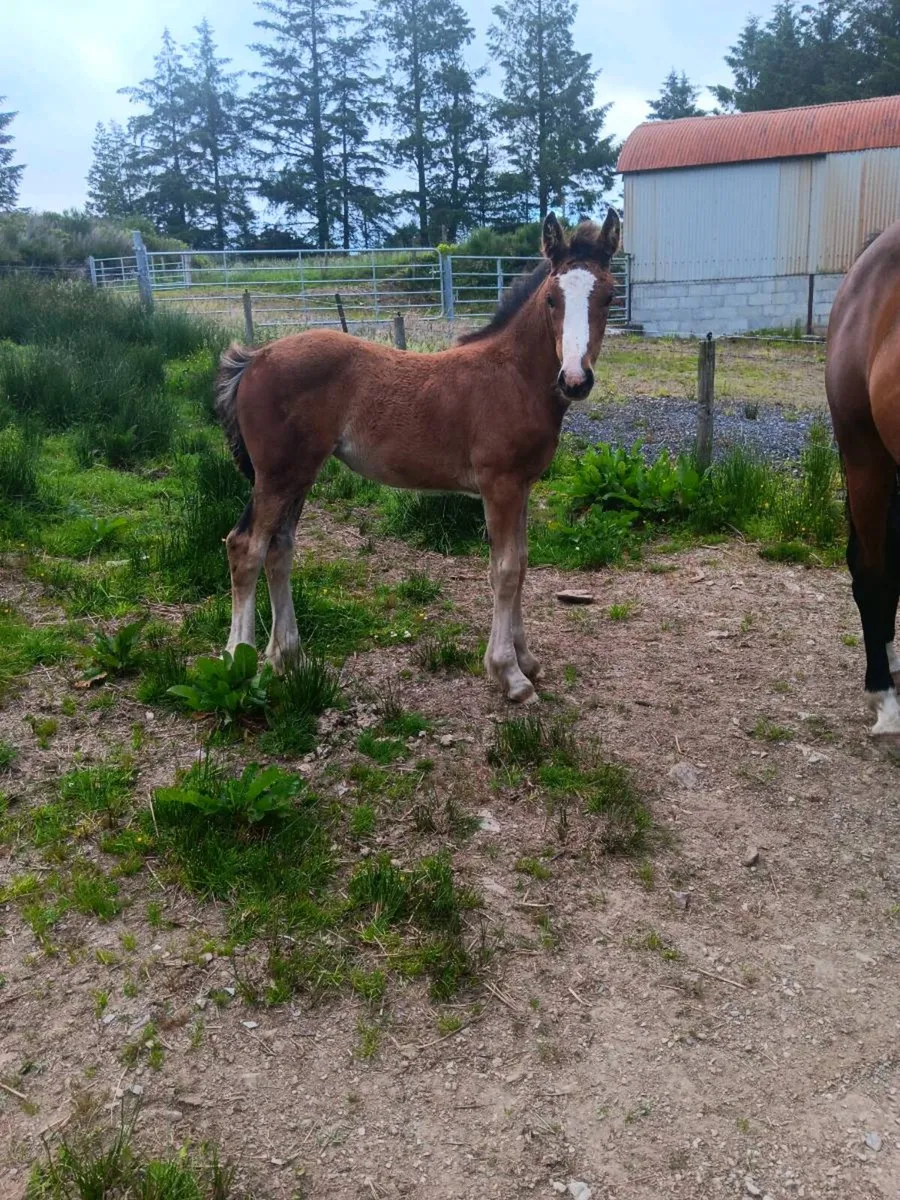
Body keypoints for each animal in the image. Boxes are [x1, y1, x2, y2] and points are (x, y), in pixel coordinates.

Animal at [215, 209, 621, 704]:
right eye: (550, 299)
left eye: (609, 296)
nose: (575, 379)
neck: (513, 377)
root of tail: (254, 358)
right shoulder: (499, 485)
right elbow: (504, 571)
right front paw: (509, 674)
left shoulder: (522, 485)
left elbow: (522, 564)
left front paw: (526, 659)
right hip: (276, 474)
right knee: (246, 546)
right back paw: (238, 662)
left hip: (299, 473)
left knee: (280, 547)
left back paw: (287, 658)